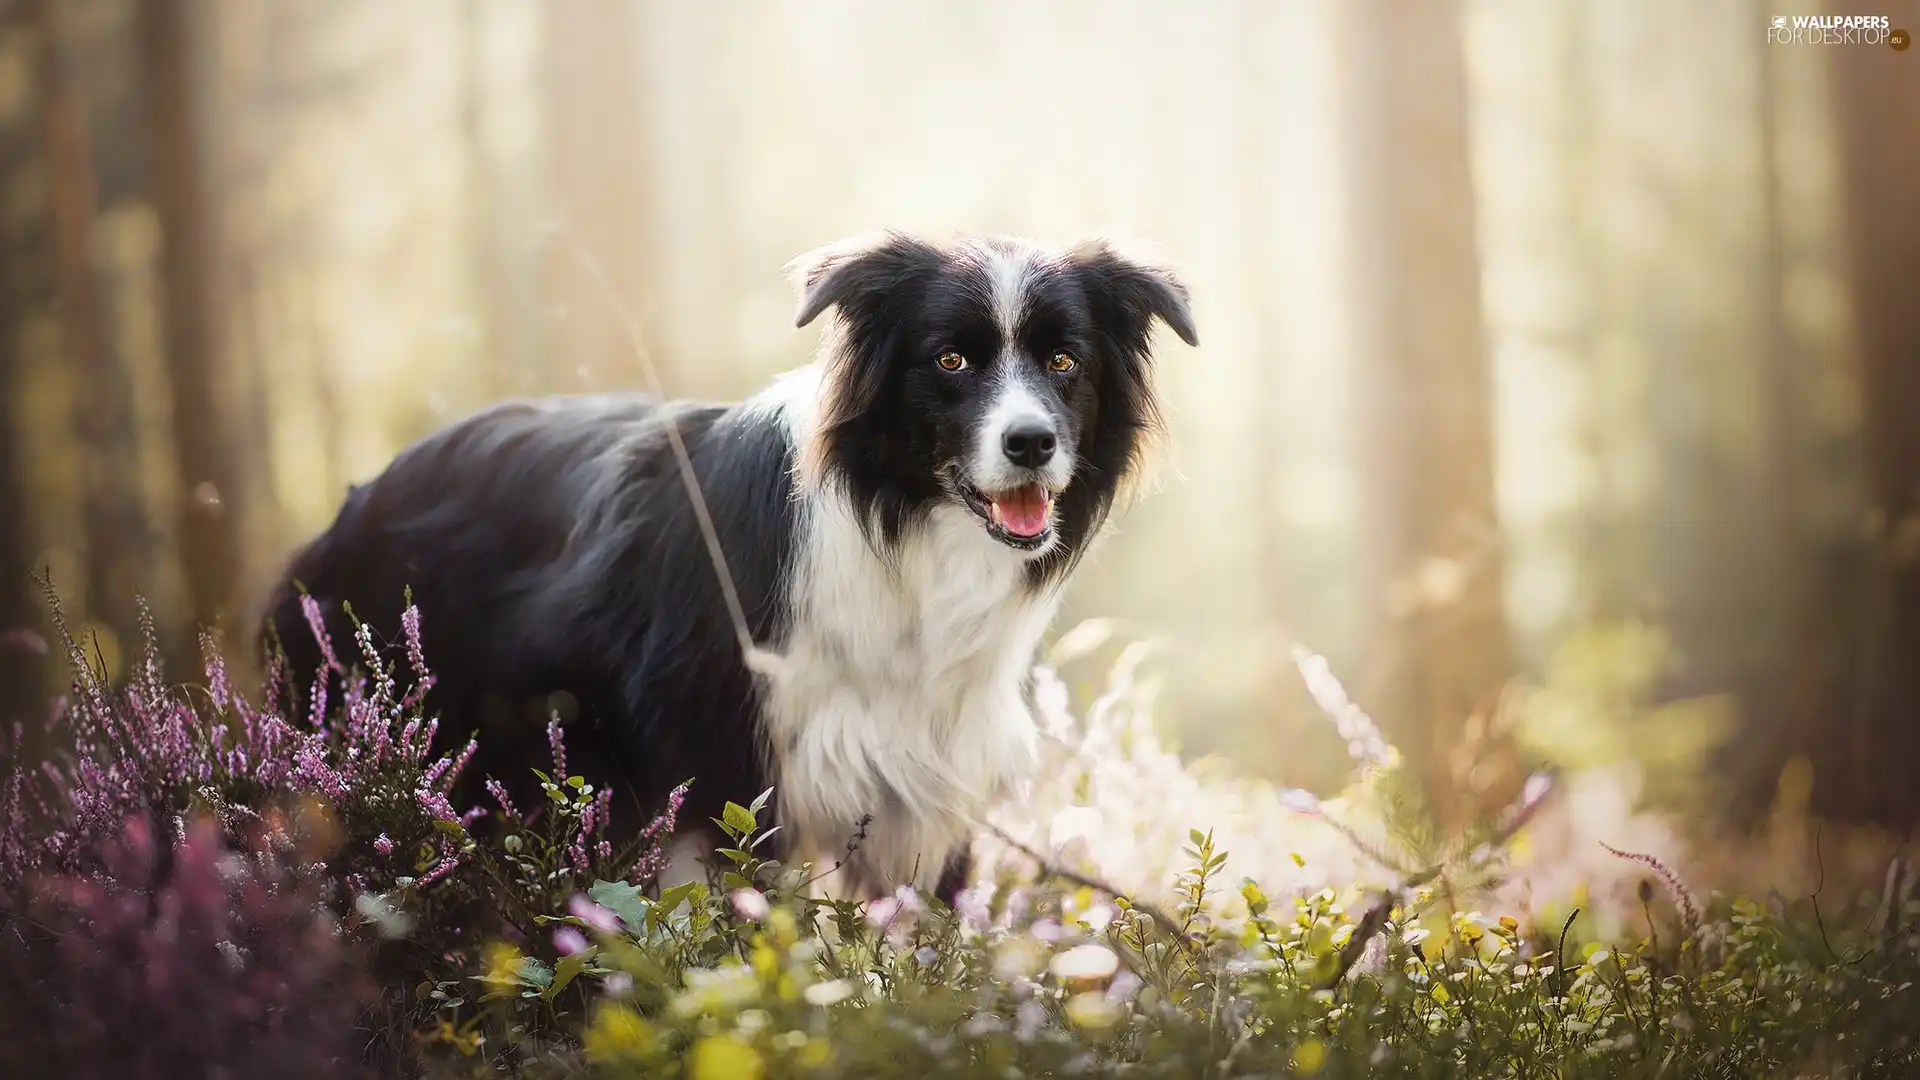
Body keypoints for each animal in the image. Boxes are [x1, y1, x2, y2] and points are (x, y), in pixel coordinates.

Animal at [266, 231, 1198, 895]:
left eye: (1064, 361)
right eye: (951, 359)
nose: (1031, 443)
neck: (904, 535)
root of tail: (352, 505)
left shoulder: (927, 781)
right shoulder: (725, 771)